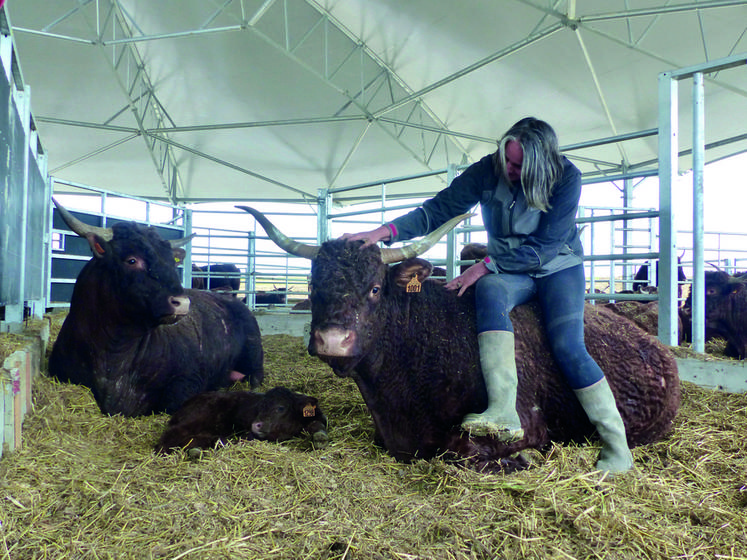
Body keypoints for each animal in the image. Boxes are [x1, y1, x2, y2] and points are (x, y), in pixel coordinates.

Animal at [49, 200, 266, 416]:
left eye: (172, 262)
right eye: (132, 260)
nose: (182, 302)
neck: (113, 355)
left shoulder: (188, 380)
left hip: (255, 355)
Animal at [156, 384, 328, 456]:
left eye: (280, 408)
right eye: (260, 407)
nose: (256, 424)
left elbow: (318, 425)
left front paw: (320, 438)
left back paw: (196, 451)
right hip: (196, 418)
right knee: (169, 436)